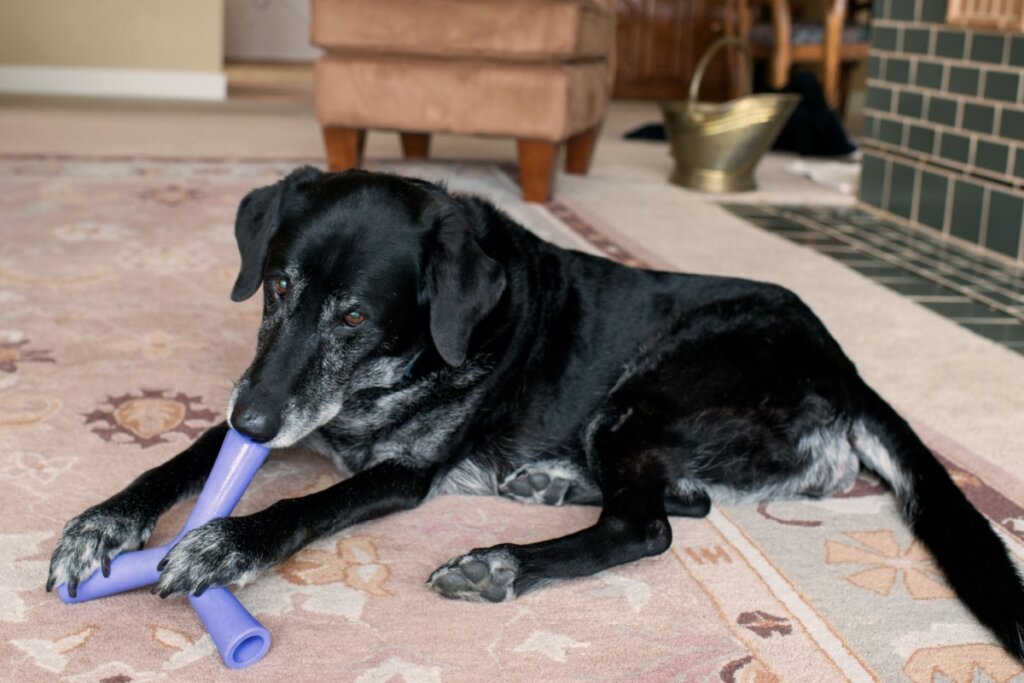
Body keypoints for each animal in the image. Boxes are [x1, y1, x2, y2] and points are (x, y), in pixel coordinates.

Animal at [49, 166, 1024, 663]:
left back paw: (504, 561)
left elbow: (303, 503)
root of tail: (846, 367)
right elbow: (178, 457)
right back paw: (546, 484)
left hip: (644, 394)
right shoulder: (268, 402)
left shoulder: (398, 473)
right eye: (278, 286)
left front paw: (226, 542)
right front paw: (103, 522)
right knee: (685, 498)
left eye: (355, 316)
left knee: (645, 525)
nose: (255, 424)